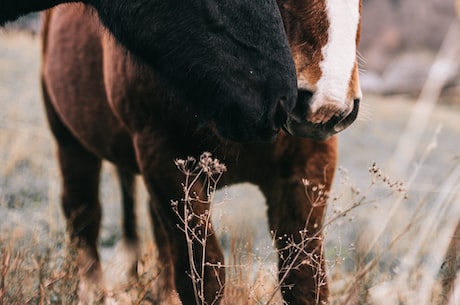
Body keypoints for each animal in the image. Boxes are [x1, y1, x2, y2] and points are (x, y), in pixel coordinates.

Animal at [40, 1, 362, 302]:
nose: (327, 103)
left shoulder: (307, 167)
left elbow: (305, 278)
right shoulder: (164, 161)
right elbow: (203, 279)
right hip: (71, 144)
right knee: (84, 217)